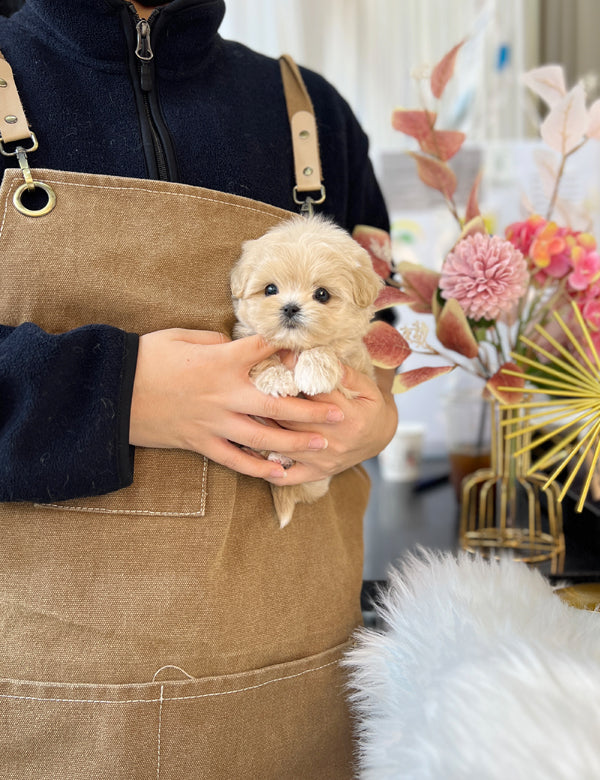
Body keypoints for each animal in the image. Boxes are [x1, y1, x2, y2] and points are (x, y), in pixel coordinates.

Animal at [232, 216, 382, 528]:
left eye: (322, 294)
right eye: (270, 289)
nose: (290, 307)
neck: (295, 346)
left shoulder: (355, 363)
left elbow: (326, 348)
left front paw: (314, 372)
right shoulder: (245, 339)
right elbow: (264, 360)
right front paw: (278, 380)